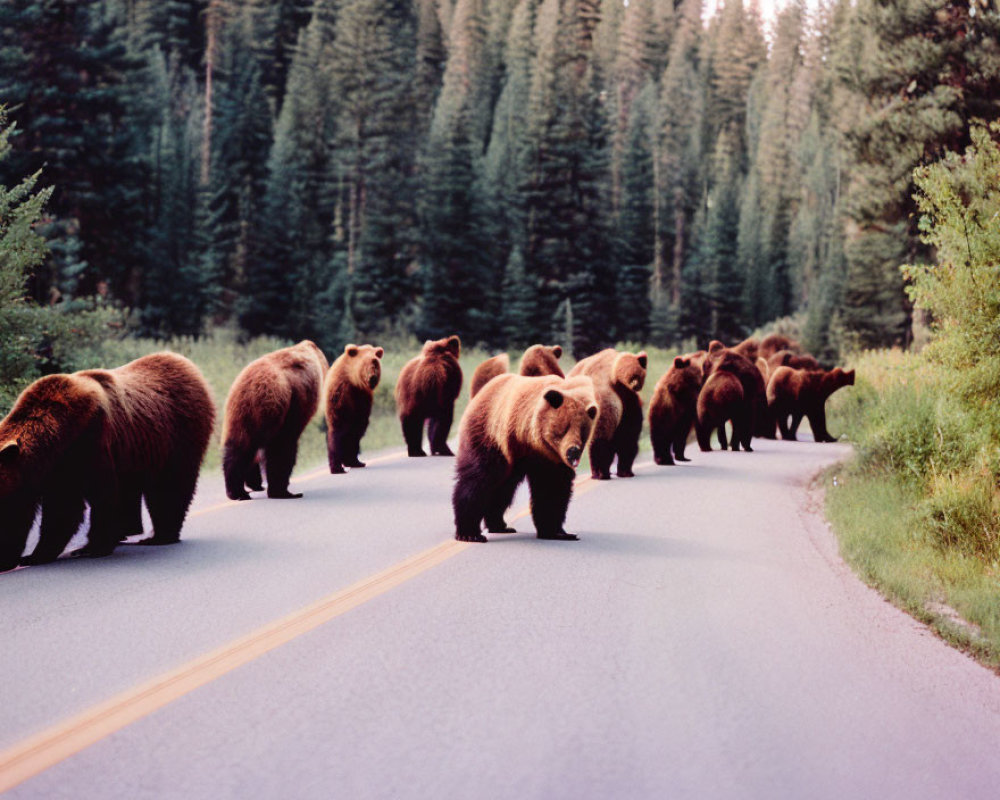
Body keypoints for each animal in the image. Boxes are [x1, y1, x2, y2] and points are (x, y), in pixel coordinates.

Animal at [0, 354, 217, 572]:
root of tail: (187, 365)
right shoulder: (43, 474)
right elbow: (21, 514)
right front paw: (19, 556)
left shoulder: (88, 444)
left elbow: (82, 501)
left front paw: (92, 547)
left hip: (177, 436)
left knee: (169, 487)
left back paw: (159, 536)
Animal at [222, 338, 328, 500]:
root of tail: (253, 390)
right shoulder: (299, 402)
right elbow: (284, 445)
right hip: (273, 408)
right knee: (278, 447)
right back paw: (281, 491)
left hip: (239, 412)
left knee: (239, 448)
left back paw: (237, 491)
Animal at [324, 346, 382, 476]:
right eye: (365, 364)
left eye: (375, 363)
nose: (372, 377)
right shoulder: (343, 394)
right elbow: (343, 430)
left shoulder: (361, 399)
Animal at [454, 376, 592, 544]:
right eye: (564, 428)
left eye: (583, 431)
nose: (573, 452)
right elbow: (477, 482)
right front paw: (470, 533)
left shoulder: (550, 460)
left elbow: (552, 489)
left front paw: (558, 532)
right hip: (486, 435)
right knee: (479, 480)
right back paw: (470, 533)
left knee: (503, 489)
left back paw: (499, 525)